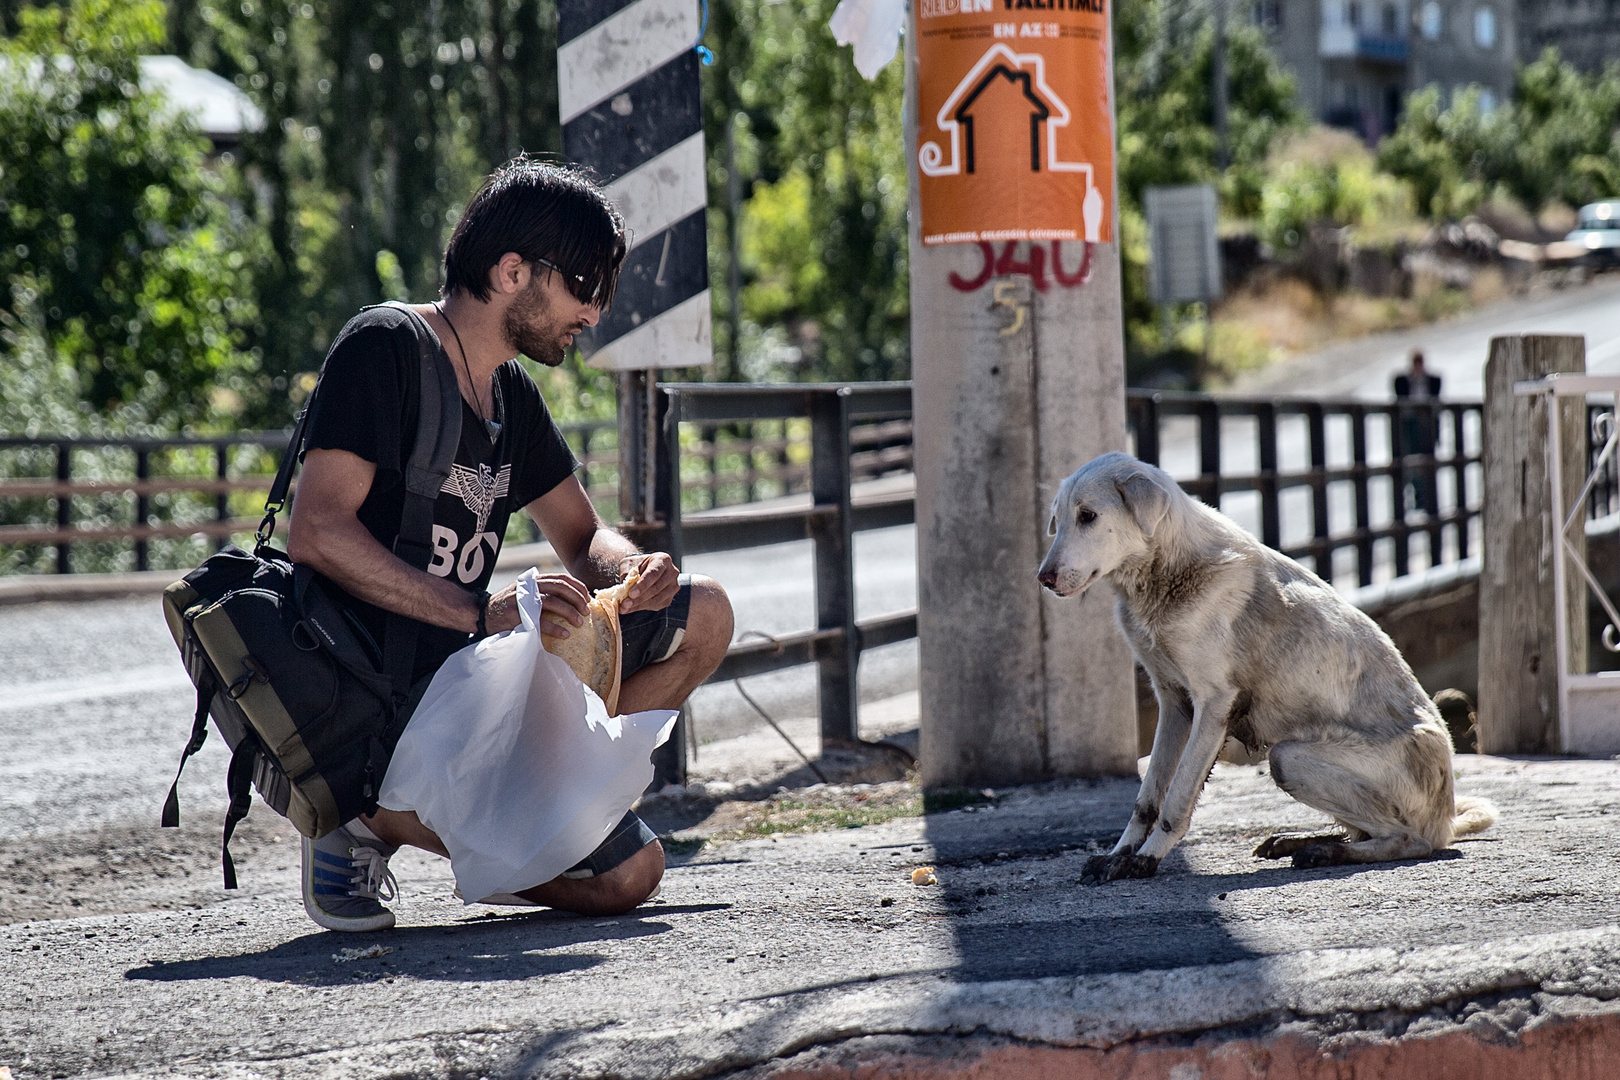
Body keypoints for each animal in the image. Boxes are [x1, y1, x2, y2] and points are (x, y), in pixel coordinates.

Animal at [1036, 453, 1490, 880]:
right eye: (1057, 520)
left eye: (1088, 516)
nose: (1043, 578)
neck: (1169, 572)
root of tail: (1446, 818)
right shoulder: (1174, 705)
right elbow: (1147, 798)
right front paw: (1120, 855)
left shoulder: (1214, 706)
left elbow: (1177, 796)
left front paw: (1146, 859)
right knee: (1370, 831)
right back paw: (1303, 841)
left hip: (1290, 758)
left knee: (1408, 838)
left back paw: (1326, 852)